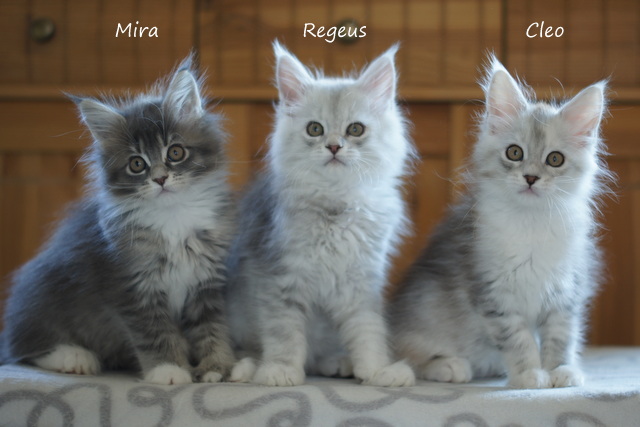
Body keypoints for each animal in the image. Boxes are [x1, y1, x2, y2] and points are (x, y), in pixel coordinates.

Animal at [0, 57, 236, 385]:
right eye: (137, 164)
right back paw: (74, 357)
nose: (160, 179)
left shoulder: (207, 281)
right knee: (24, 348)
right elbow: (156, 333)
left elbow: (212, 328)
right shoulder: (132, 285)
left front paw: (217, 367)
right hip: (44, 293)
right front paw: (170, 370)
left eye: (175, 152)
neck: (173, 217)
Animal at [224, 42, 416, 387]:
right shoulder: (278, 280)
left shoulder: (361, 284)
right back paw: (250, 368)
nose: (334, 146)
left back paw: (337, 362)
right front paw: (282, 370)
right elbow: (284, 333)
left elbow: (368, 331)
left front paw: (377, 370)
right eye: (315, 129)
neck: (335, 204)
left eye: (355, 129)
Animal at [388, 56, 611, 389]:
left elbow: (561, 337)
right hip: (426, 313)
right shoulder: (493, 294)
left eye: (555, 159)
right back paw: (450, 366)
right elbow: (520, 339)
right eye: (514, 153)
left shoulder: (567, 291)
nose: (530, 177)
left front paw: (561, 371)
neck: (531, 225)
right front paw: (530, 374)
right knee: (409, 356)